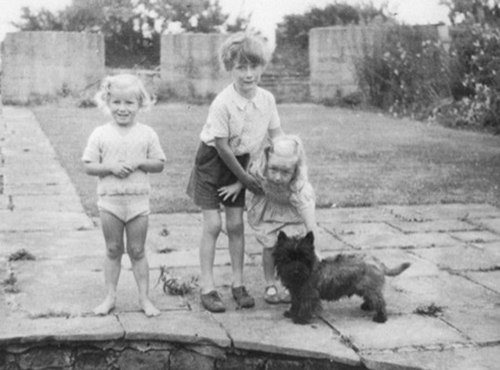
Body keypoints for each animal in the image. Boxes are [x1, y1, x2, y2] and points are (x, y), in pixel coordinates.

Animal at [274, 231, 410, 324]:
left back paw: (380, 318)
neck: (308, 270)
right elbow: (295, 303)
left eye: (303, 257)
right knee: (374, 298)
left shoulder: (308, 293)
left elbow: (305, 305)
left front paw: (301, 319)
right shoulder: (296, 293)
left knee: (380, 301)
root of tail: (377, 263)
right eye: (288, 258)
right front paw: (291, 313)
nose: (296, 270)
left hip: (369, 288)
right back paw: (367, 306)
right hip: (365, 288)